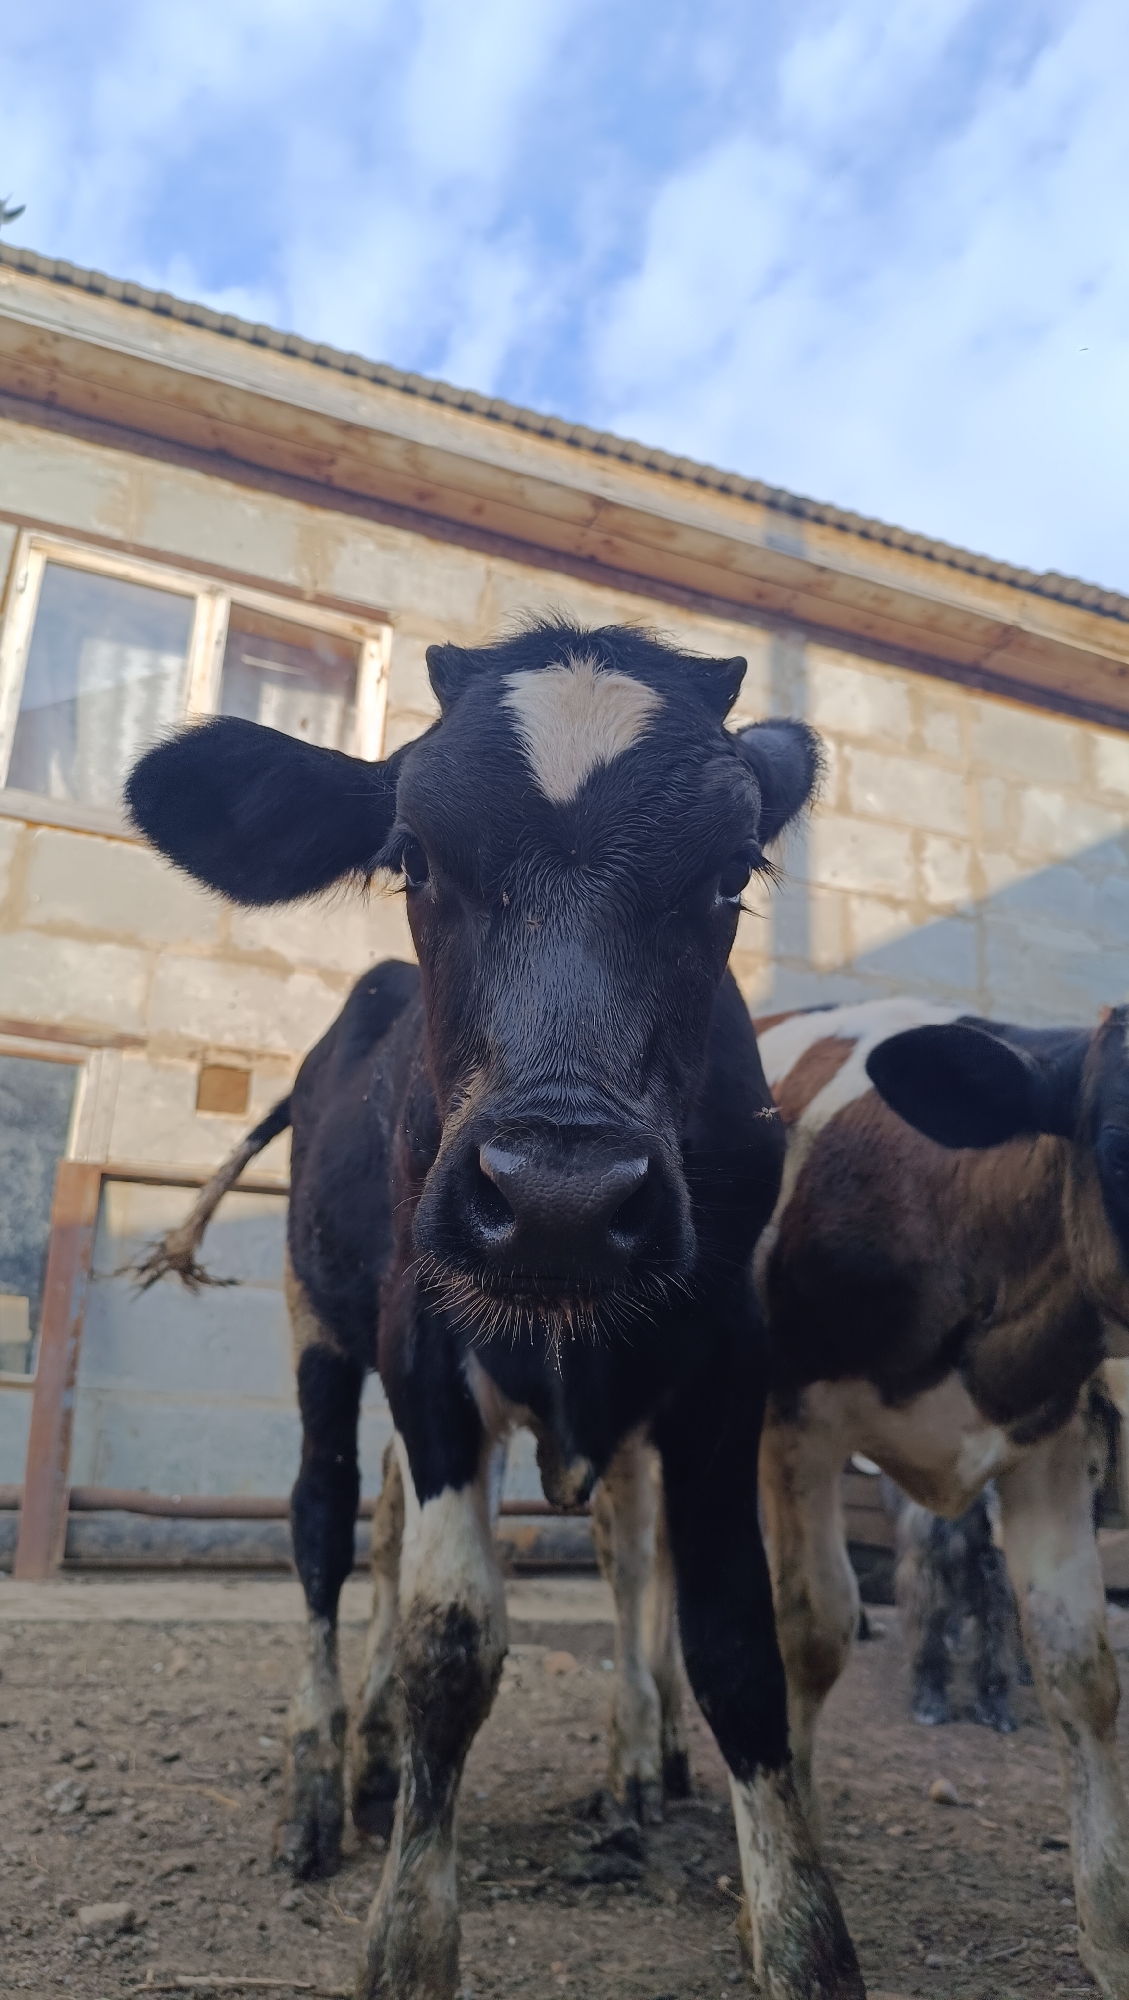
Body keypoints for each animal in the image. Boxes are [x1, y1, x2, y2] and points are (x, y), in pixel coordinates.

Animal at [125, 621, 864, 2000]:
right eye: (411, 855)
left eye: (732, 873)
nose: (559, 1196)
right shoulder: (425, 1343)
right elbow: (452, 1639)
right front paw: (409, 1938)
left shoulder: (720, 1362)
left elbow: (732, 1641)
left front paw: (794, 1932)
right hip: (321, 1324)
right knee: (323, 1524)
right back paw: (321, 1774)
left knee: (435, 1531)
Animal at [752, 995, 1129, 2000]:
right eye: (1121, 1149)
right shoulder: (791, 1421)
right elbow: (807, 1633)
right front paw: (783, 1904)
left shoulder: (1052, 1447)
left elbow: (1080, 1671)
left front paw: (1110, 1937)